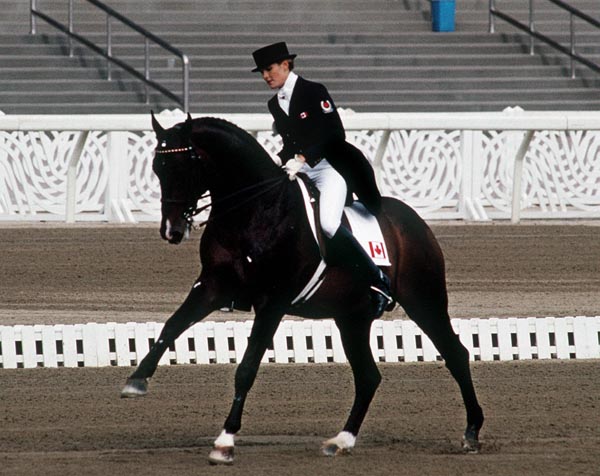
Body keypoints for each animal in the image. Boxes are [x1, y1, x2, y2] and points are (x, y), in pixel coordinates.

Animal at [120, 113, 482, 462]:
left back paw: (472, 433)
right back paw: (342, 441)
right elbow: (171, 326)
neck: (254, 211)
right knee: (368, 377)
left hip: (424, 300)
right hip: (352, 319)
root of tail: (413, 221)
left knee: (455, 354)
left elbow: (247, 368)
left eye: (185, 166)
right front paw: (136, 381)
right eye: (158, 167)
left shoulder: (272, 303)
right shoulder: (211, 286)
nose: (172, 230)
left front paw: (225, 442)